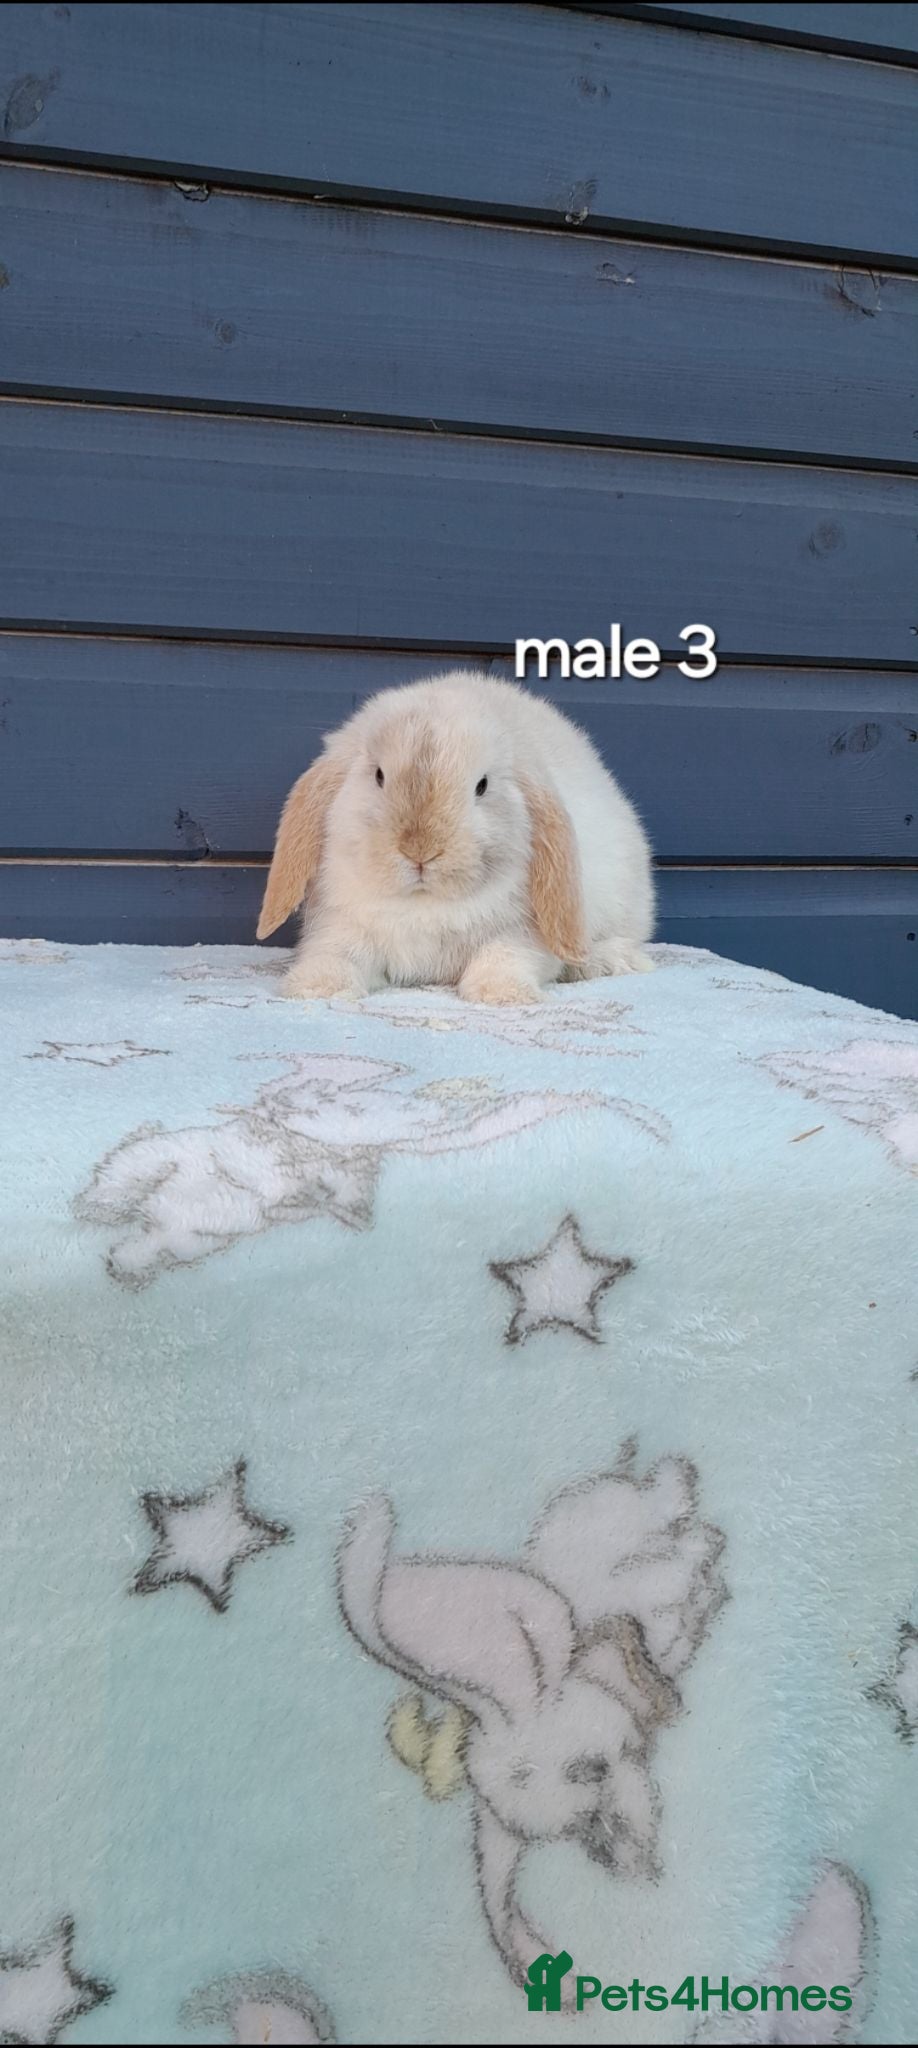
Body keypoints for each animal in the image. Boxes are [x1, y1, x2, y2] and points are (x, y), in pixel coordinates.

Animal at [256, 671, 654, 1005]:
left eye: (482, 785)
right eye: (379, 776)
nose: (420, 849)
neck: (425, 904)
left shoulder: (524, 933)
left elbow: (504, 956)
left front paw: (503, 995)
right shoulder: (340, 924)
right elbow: (335, 954)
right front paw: (317, 988)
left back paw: (605, 961)